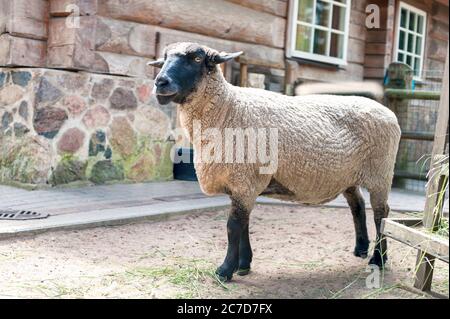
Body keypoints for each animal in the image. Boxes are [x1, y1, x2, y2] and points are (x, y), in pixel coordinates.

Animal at [149, 42, 400, 282]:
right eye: (165, 58)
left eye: (197, 58)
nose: (160, 82)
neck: (228, 109)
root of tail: (388, 112)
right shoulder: (242, 184)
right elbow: (244, 225)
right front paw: (244, 264)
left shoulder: (244, 181)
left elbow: (233, 227)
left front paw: (225, 270)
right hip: (348, 176)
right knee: (357, 205)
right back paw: (360, 248)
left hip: (381, 173)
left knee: (382, 214)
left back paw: (378, 259)